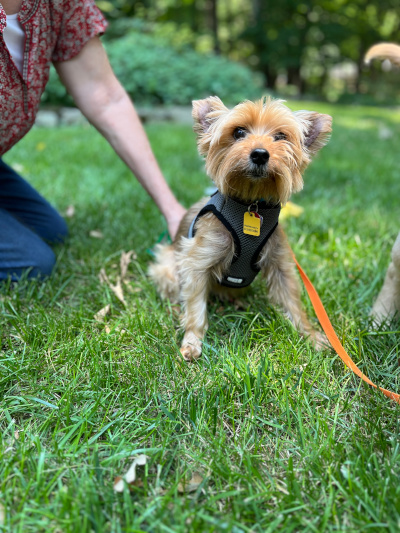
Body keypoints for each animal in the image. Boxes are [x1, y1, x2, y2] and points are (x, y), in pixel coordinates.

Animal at [149, 96, 332, 361]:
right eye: (238, 132)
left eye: (281, 136)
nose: (260, 154)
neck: (250, 203)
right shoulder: (198, 260)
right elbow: (195, 307)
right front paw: (192, 342)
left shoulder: (280, 262)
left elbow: (292, 302)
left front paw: (311, 336)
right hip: (167, 266)